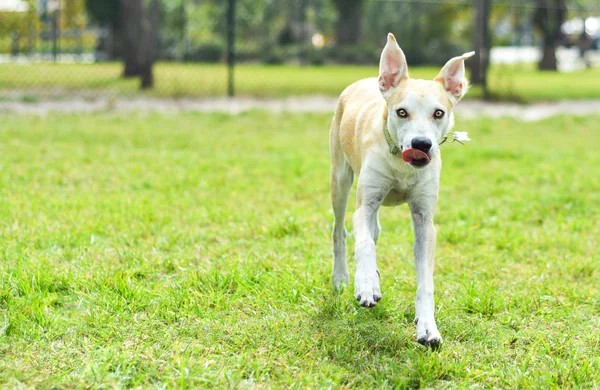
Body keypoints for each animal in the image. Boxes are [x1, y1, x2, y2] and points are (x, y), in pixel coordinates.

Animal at [328, 31, 474, 348]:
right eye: (401, 112)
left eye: (439, 113)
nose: (421, 145)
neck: (401, 166)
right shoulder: (366, 203)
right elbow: (363, 241)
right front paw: (366, 285)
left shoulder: (424, 218)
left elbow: (425, 280)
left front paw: (428, 328)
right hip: (340, 179)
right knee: (340, 231)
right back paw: (344, 277)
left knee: (374, 231)